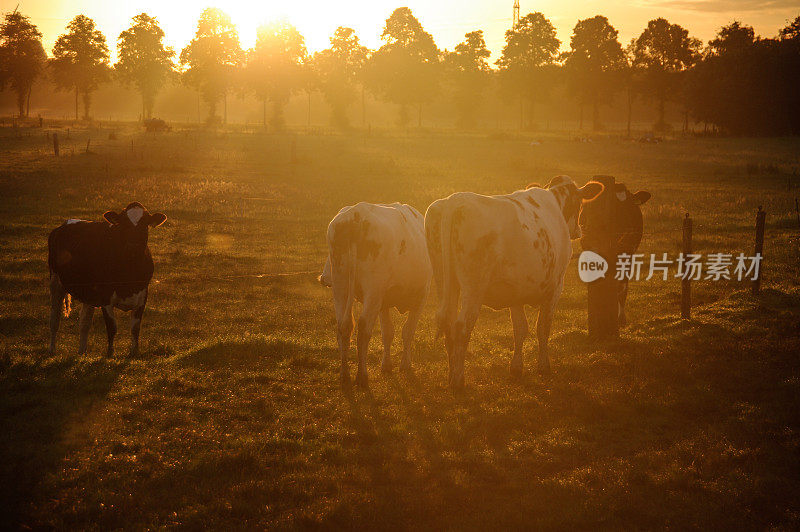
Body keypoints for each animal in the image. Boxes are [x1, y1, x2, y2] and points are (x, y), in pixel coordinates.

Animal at [48, 203, 167, 358]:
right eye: (123, 224)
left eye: (144, 224)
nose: (133, 246)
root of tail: (64, 224)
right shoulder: (105, 297)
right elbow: (112, 327)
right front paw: (110, 353)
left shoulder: (142, 295)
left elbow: (135, 328)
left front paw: (134, 352)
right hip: (56, 282)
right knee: (55, 318)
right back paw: (52, 349)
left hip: (89, 292)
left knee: (84, 322)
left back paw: (82, 352)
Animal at [318, 202, 432, 388]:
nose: (324, 278)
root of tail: (356, 213)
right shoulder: (421, 297)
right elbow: (407, 331)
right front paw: (405, 365)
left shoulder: (382, 302)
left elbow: (388, 332)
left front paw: (386, 365)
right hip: (372, 290)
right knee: (364, 328)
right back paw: (362, 376)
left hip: (342, 286)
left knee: (343, 326)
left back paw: (345, 375)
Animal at [424, 177, 600, 388]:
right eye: (579, 204)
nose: (579, 230)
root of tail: (455, 199)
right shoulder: (556, 287)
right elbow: (543, 327)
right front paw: (544, 367)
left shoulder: (516, 291)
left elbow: (520, 329)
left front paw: (516, 368)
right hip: (473, 288)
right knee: (461, 327)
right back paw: (458, 381)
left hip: (445, 282)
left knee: (448, 322)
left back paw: (452, 376)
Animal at [580, 181, 652, 326]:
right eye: (613, 205)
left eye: (630, 203)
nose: (627, 226)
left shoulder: (628, 252)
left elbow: (622, 285)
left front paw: (621, 318)